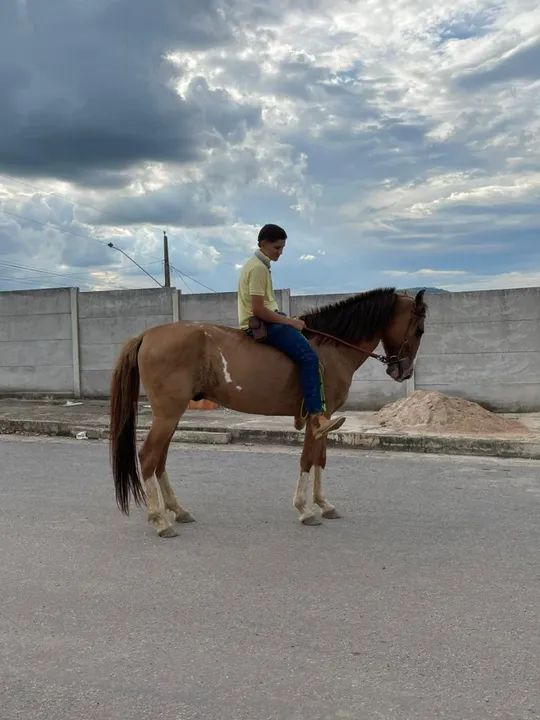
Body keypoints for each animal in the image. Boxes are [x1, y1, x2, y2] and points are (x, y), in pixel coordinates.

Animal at [110, 287, 427, 537]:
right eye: (419, 329)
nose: (403, 371)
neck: (330, 348)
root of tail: (147, 335)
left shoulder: (324, 419)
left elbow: (320, 459)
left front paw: (323, 504)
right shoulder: (316, 418)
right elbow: (307, 459)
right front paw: (304, 509)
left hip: (172, 415)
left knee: (159, 460)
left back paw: (177, 510)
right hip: (167, 414)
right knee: (148, 457)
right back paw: (160, 520)